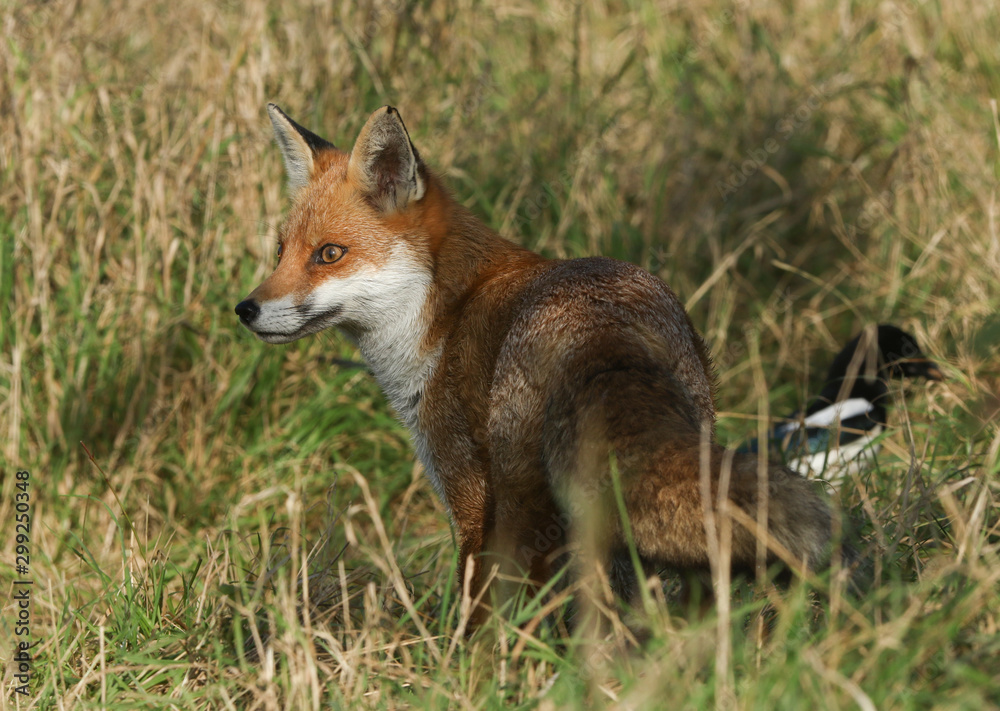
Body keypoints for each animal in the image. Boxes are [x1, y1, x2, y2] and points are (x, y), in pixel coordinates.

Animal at [236, 103, 836, 624]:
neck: (443, 314)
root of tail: (607, 323)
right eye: (282, 252)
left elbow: (475, 597)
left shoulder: (467, 491)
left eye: (329, 254)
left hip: (525, 502)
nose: (245, 309)